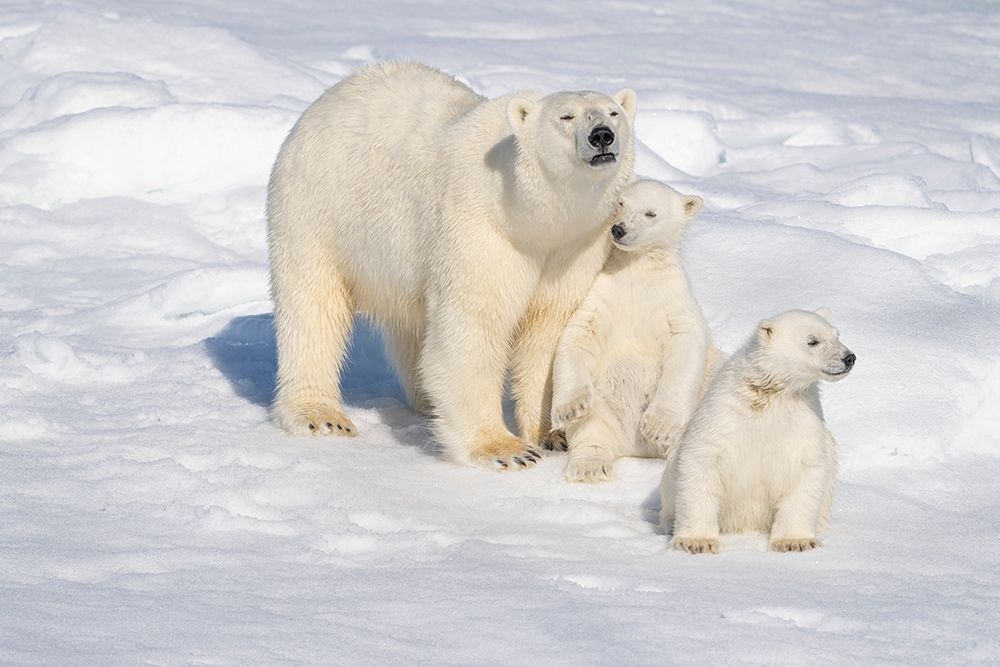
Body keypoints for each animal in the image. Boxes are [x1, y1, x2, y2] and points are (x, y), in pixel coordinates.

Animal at [266, 62, 637, 469]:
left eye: (613, 113)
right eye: (565, 116)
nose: (601, 136)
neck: (532, 219)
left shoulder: (574, 248)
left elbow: (549, 332)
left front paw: (552, 434)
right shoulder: (481, 228)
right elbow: (473, 325)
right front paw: (506, 449)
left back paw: (426, 404)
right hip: (318, 209)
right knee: (313, 309)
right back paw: (321, 415)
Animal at [549, 179, 721, 482]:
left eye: (650, 213)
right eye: (620, 203)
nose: (619, 229)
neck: (635, 269)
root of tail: (634, 448)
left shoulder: (672, 302)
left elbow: (686, 343)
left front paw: (658, 426)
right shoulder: (602, 297)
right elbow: (578, 335)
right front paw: (571, 407)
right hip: (604, 408)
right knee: (592, 430)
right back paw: (589, 466)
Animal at [660, 308, 856, 554]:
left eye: (837, 335)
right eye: (812, 341)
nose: (849, 358)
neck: (769, 395)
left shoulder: (803, 419)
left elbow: (806, 470)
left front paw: (795, 541)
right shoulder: (722, 414)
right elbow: (702, 461)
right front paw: (696, 542)